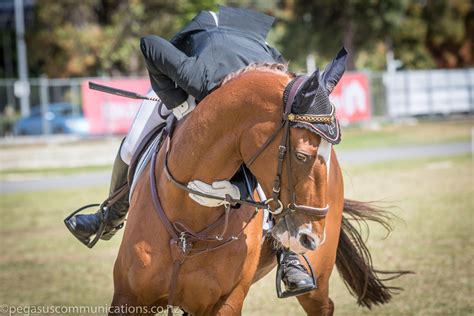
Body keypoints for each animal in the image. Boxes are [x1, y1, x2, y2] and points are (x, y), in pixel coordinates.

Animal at [110, 65, 404, 314]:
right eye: (301, 156)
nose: (311, 239)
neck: (186, 225)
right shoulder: (128, 297)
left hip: (317, 280)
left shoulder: (226, 302)